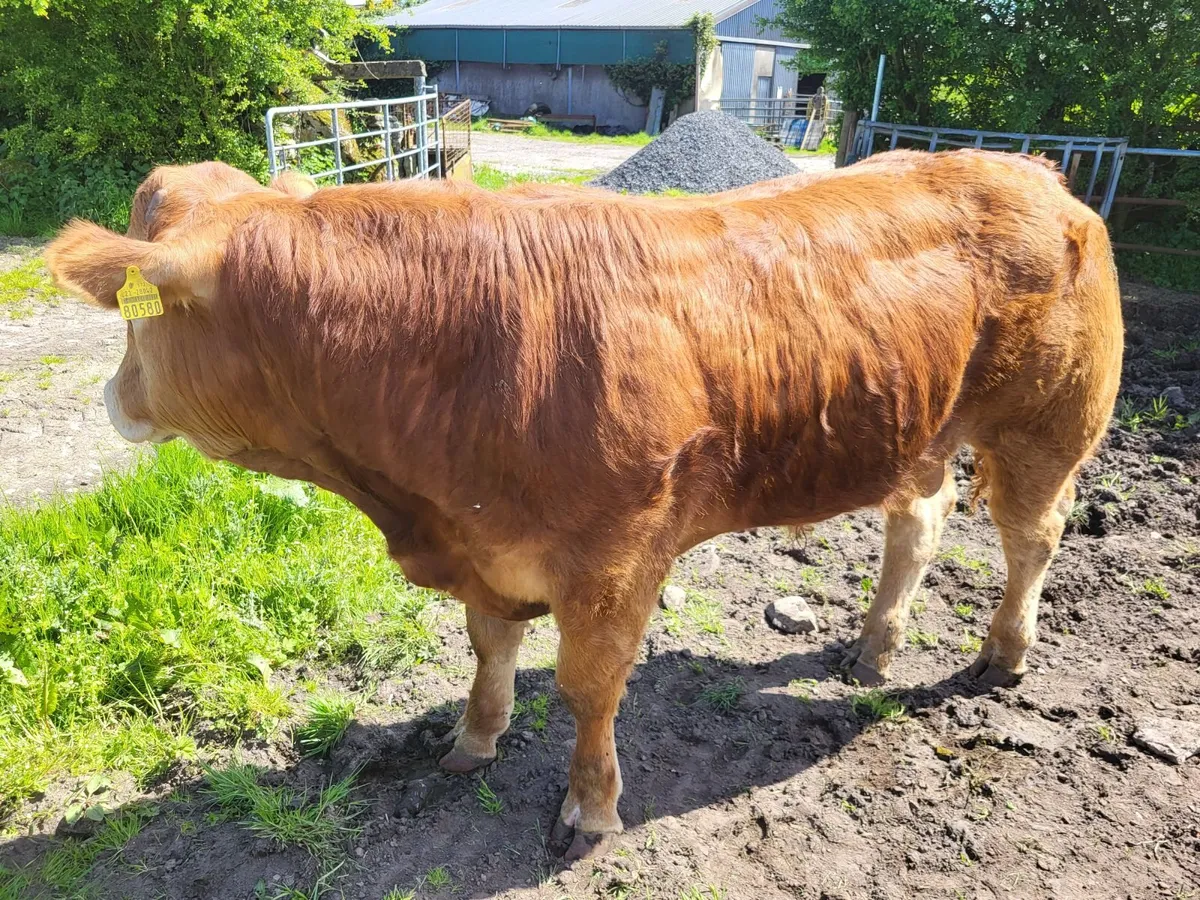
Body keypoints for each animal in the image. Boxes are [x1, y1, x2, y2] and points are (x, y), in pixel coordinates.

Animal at [44, 150, 1124, 860]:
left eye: (135, 326)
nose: (112, 397)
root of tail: (1029, 168)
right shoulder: (483, 544)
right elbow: (489, 648)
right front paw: (472, 740)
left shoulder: (616, 559)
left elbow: (589, 687)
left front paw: (590, 808)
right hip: (920, 431)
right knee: (920, 520)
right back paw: (873, 646)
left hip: (1045, 425)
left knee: (1032, 536)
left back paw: (1005, 654)